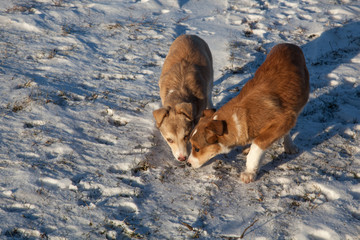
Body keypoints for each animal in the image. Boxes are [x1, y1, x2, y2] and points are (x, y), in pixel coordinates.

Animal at [188, 43, 310, 183]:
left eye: (197, 148)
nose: (188, 163)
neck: (239, 117)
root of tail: (289, 44)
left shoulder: (283, 119)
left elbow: (257, 145)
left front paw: (249, 172)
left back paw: (289, 146)